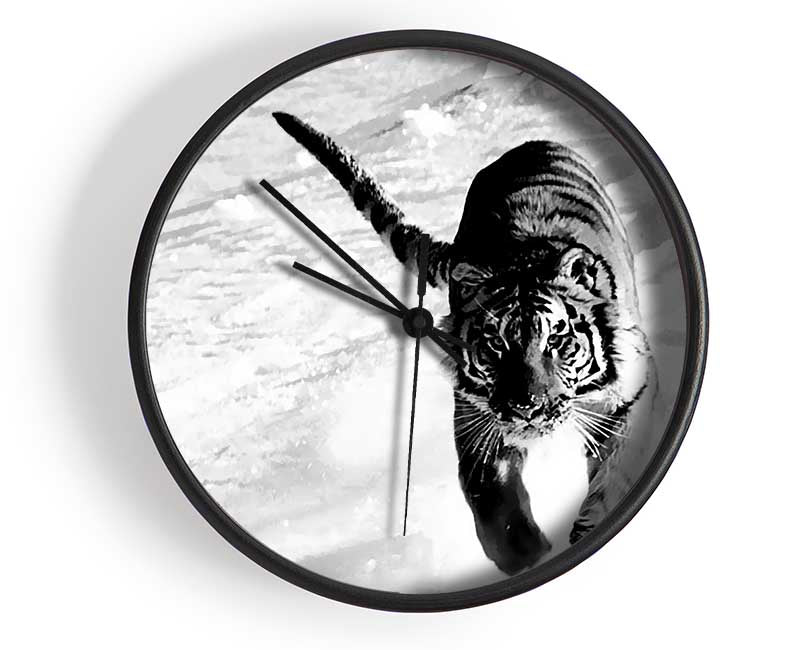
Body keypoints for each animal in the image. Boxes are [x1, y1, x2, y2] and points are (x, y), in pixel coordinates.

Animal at [271, 111, 655, 575]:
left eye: (557, 339)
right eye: (496, 344)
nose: (527, 408)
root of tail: (528, 145)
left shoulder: (623, 403)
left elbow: (613, 478)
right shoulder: (476, 418)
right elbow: (491, 502)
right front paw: (525, 555)